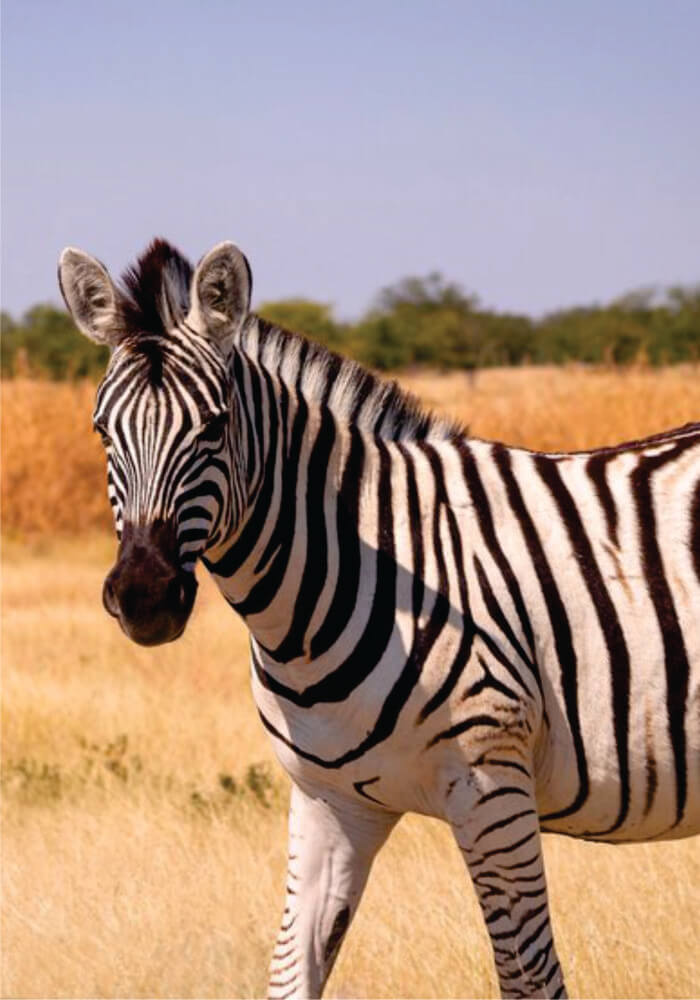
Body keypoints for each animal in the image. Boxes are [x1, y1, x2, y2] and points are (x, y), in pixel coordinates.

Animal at [58, 237, 700, 999]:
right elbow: (290, 975)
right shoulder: (329, 800)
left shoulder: (491, 784)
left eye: (214, 426)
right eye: (101, 429)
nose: (144, 598)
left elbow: (530, 980)